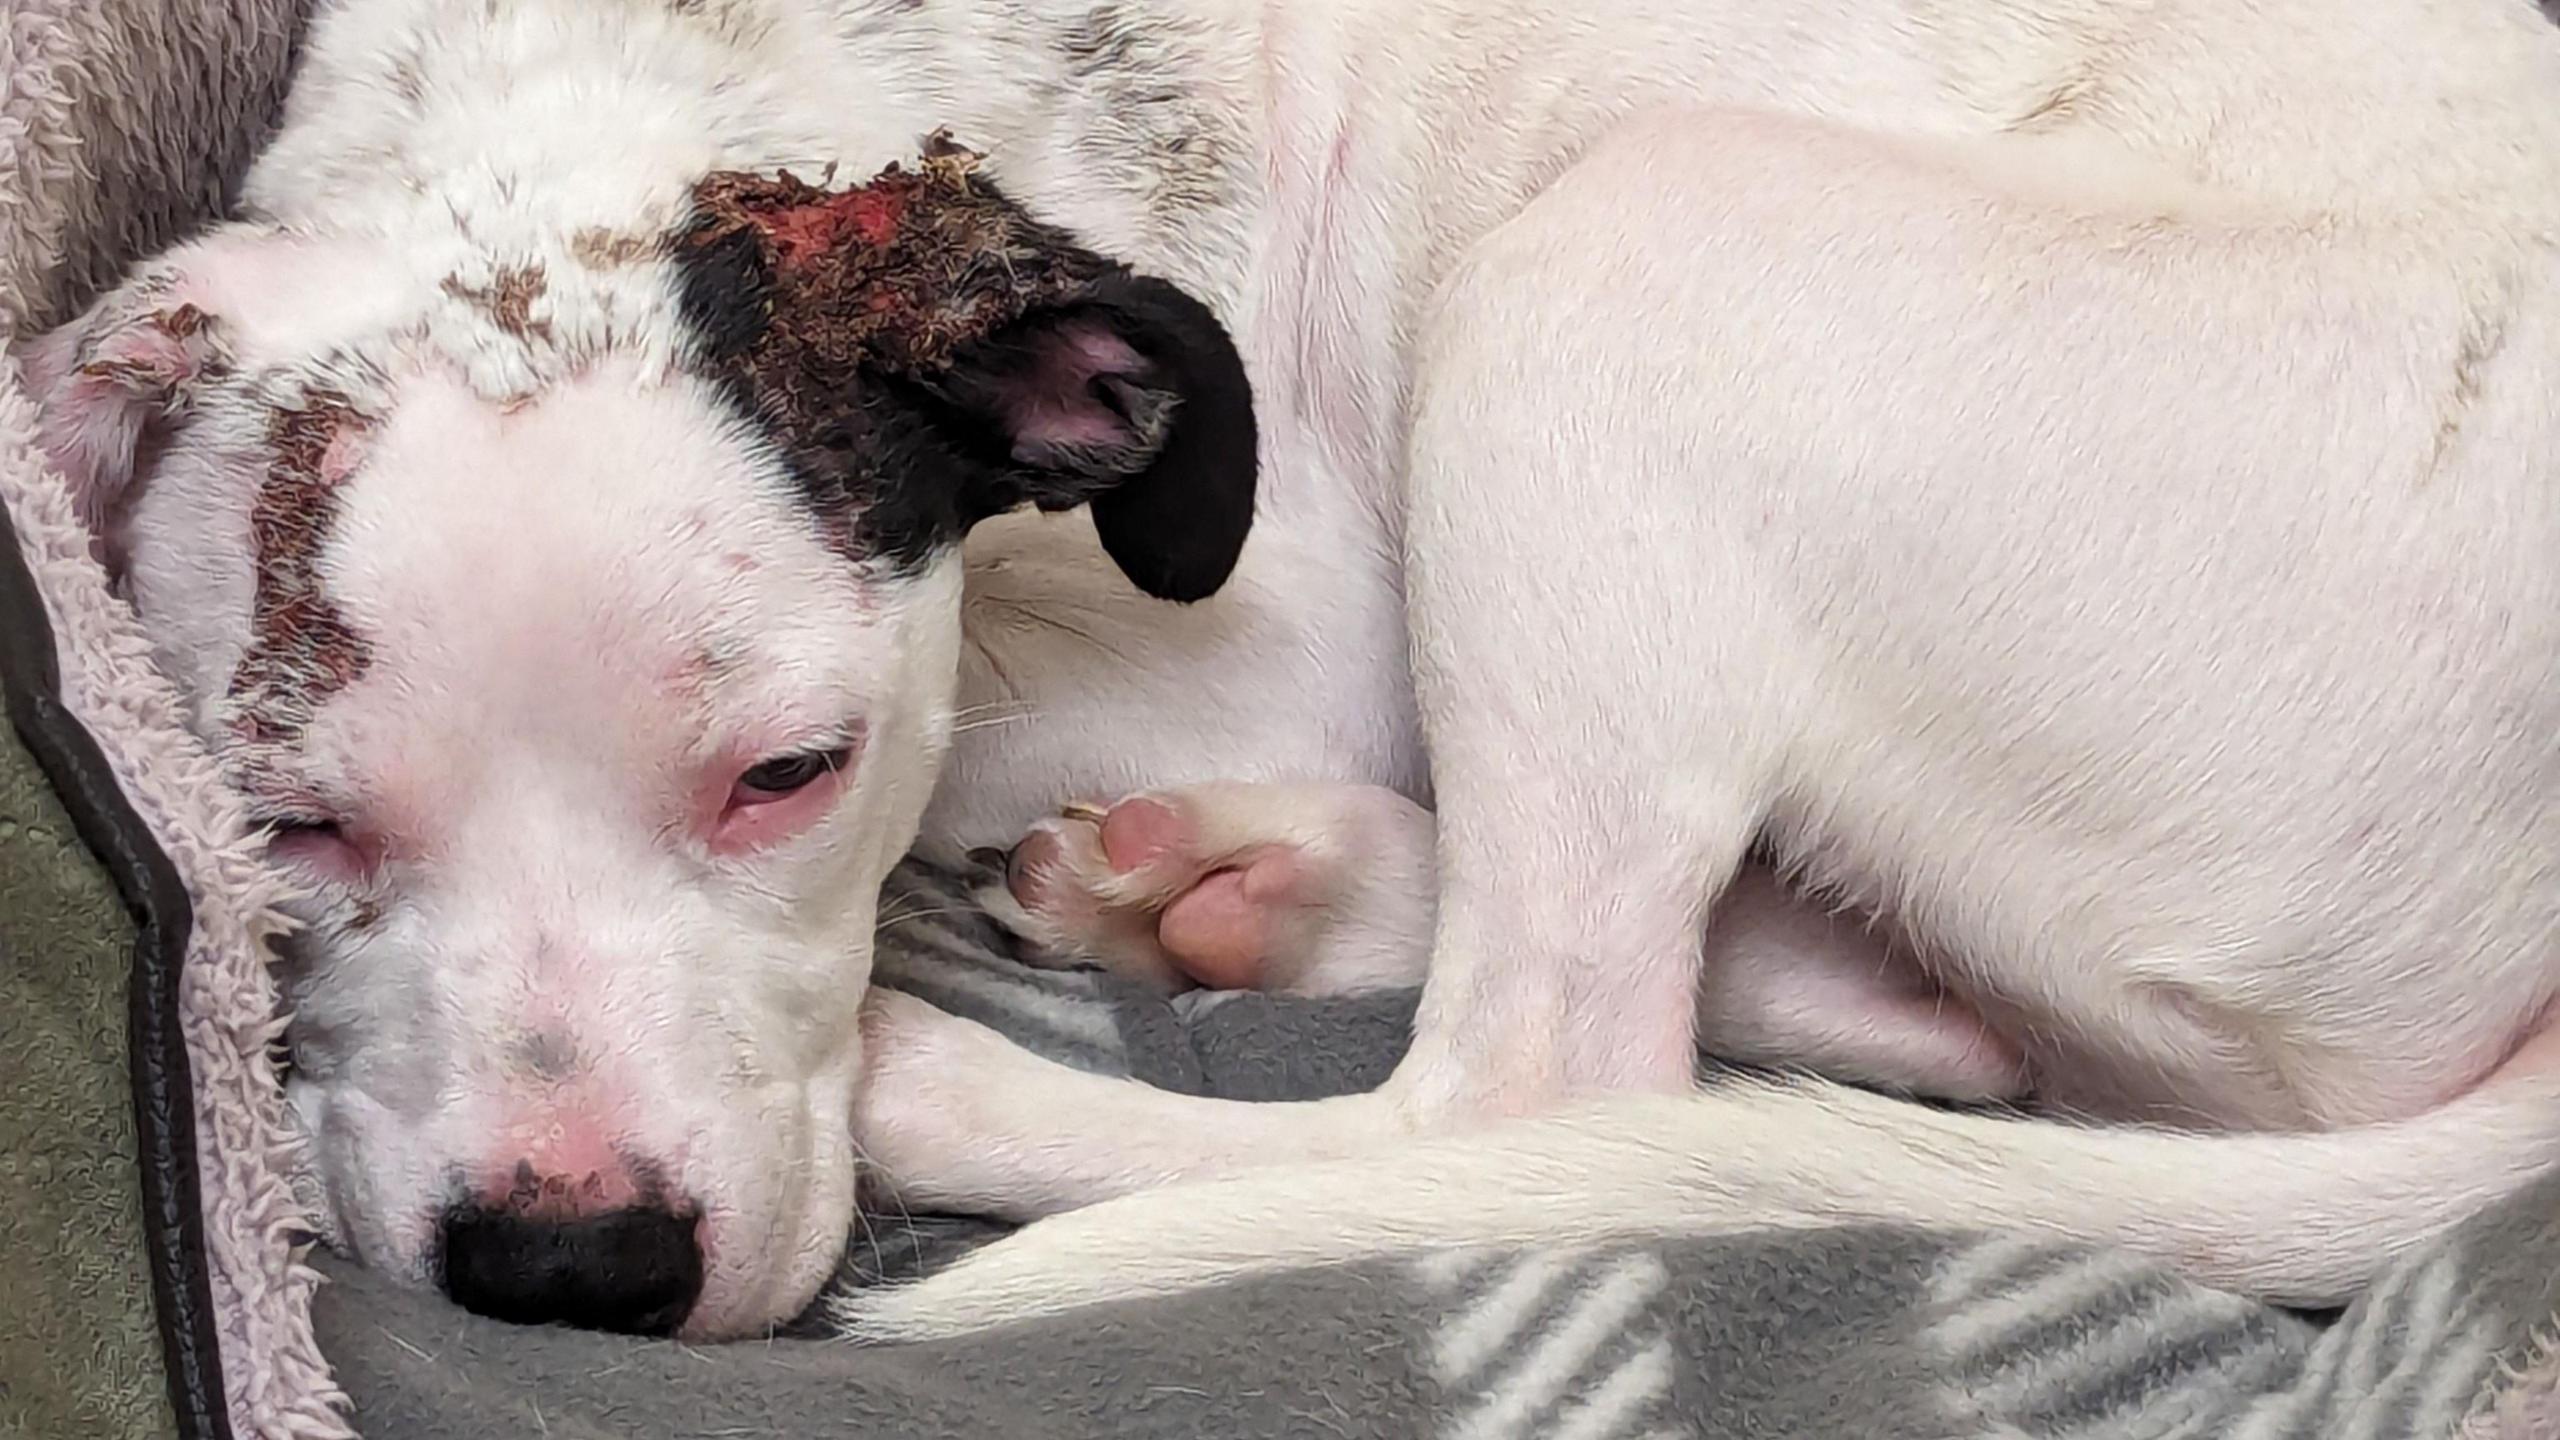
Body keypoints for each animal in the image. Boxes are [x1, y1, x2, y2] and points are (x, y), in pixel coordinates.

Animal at [15, 0, 2560, 1342]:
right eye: (279, 822)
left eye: (789, 772)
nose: (575, 1264)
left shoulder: (1284, 628)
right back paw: (1258, 890)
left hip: (1621, 272)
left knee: (1538, 1082)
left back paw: (1012, 1053)